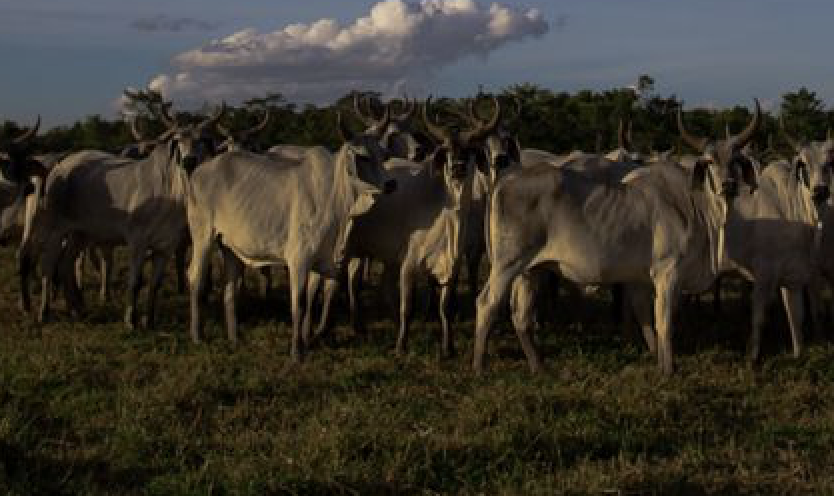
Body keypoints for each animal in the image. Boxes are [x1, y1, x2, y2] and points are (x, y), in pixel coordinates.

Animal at [185, 112, 396, 360]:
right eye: (362, 157)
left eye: (384, 155)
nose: (391, 184)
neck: (336, 198)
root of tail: (200, 170)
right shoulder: (299, 259)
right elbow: (300, 303)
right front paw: (297, 352)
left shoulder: (321, 262)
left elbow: (315, 298)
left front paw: (307, 340)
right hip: (203, 236)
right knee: (195, 277)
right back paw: (197, 336)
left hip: (229, 247)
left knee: (229, 287)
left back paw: (234, 337)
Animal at [472, 101, 756, 374]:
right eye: (708, 162)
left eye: (735, 161)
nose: (728, 185)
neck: (696, 206)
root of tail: (505, 180)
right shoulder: (667, 272)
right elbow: (664, 323)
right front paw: (669, 369)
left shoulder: (642, 278)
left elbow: (645, 315)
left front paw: (656, 357)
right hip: (506, 265)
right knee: (487, 304)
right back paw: (479, 366)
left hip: (531, 270)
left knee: (521, 316)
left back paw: (538, 366)